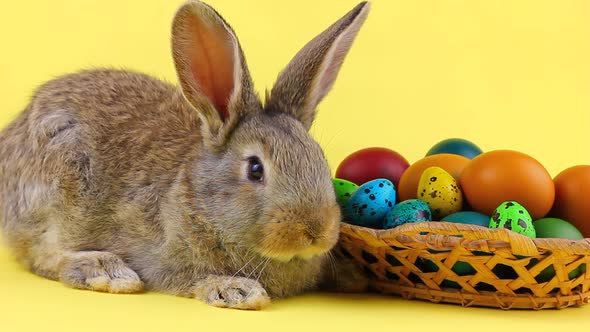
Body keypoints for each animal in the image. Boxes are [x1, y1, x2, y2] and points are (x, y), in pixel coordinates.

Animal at [0, 1, 370, 310]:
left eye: (319, 159)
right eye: (255, 169)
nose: (316, 230)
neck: (200, 201)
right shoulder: (160, 258)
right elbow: (188, 278)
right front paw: (237, 291)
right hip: (59, 182)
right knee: (41, 253)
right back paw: (105, 271)